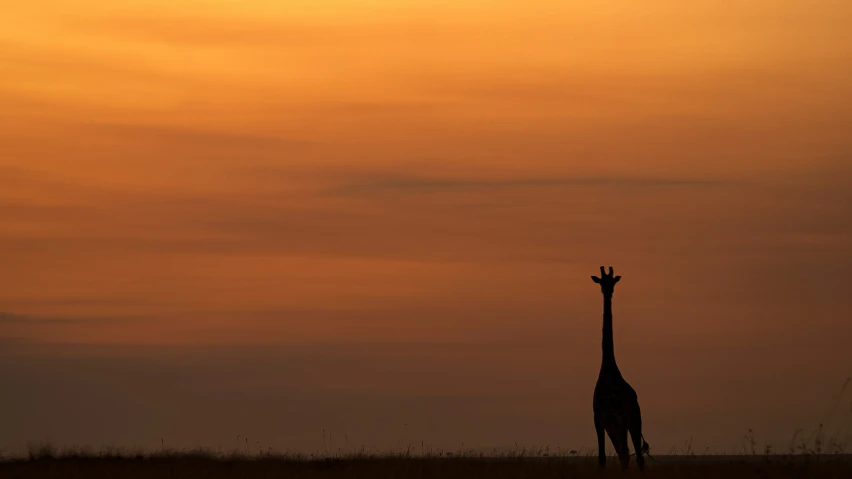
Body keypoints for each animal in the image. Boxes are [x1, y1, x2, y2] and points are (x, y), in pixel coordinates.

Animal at [592, 266, 644, 472]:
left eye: (613, 282)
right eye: (601, 282)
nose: (608, 292)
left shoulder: (620, 418)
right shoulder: (600, 420)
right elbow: (601, 458)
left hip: (634, 420)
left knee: (637, 455)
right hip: (615, 427)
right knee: (625, 454)